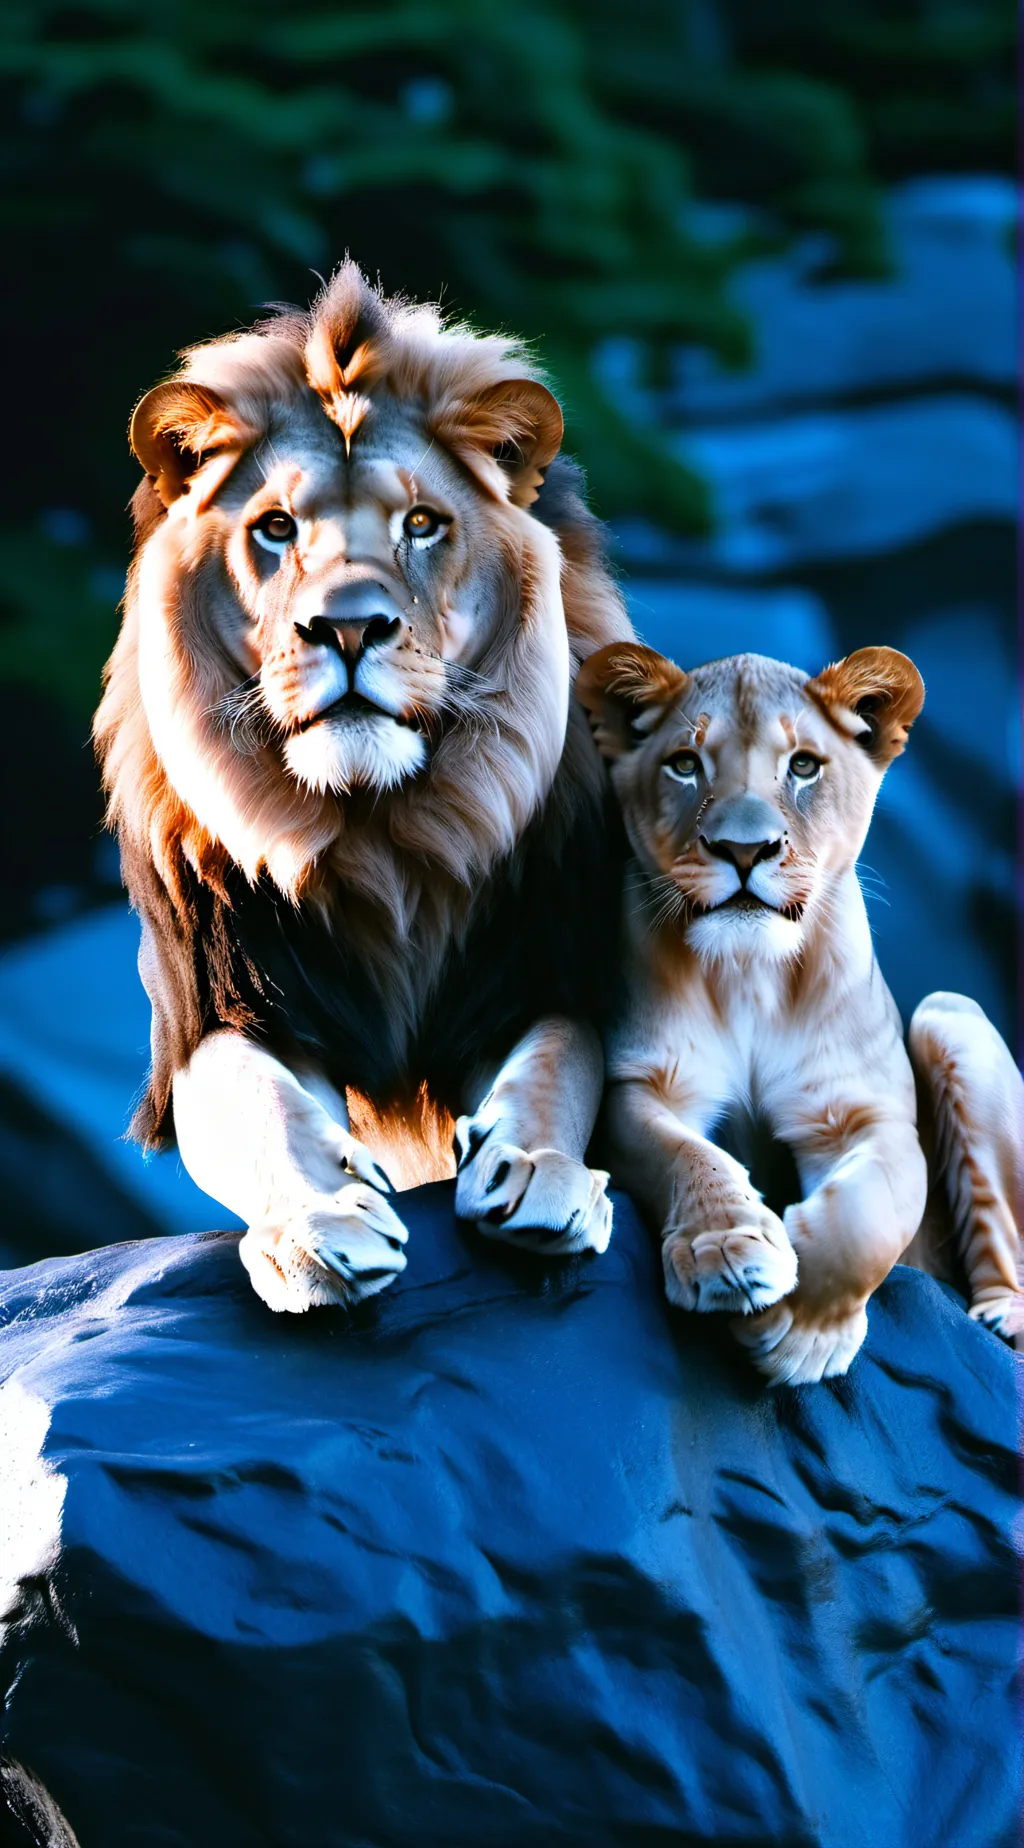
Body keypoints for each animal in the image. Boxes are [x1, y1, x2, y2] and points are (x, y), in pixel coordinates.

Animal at [95, 262, 634, 1313]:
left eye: (422, 524)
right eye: (275, 528)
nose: (347, 627)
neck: (379, 831)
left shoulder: (537, 963)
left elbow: (553, 1069)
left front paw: (539, 1174)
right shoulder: (221, 1002)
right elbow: (259, 1108)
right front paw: (318, 1226)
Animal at [576, 641, 1024, 1385]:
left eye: (805, 766)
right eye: (685, 764)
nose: (743, 849)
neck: (751, 976)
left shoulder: (866, 1113)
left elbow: (866, 1217)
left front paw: (799, 1330)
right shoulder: (643, 1085)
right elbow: (684, 1155)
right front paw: (727, 1252)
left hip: (950, 1012)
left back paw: (1003, 1317)